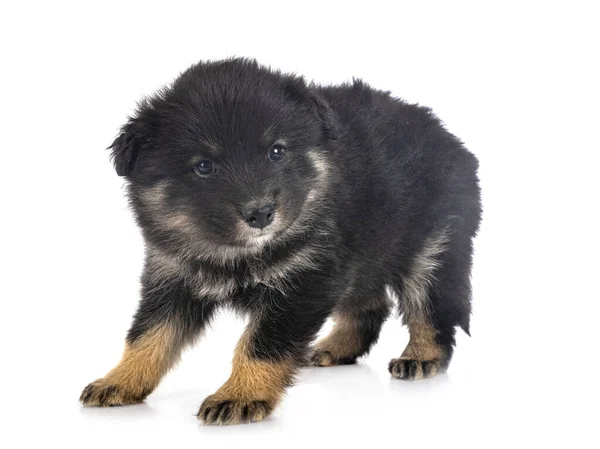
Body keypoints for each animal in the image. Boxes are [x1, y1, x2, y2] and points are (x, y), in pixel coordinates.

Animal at [79, 58, 482, 424]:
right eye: (204, 166)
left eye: (276, 151)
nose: (260, 214)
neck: (235, 252)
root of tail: (453, 142)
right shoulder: (173, 277)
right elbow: (147, 336)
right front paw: (121, 380)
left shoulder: (304, 282)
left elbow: (261, 345)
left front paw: (241, 395)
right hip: (365, 254)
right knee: (372, 304)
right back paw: (337, 348)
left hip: (433, 248)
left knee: (431, 307)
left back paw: (422, 357)